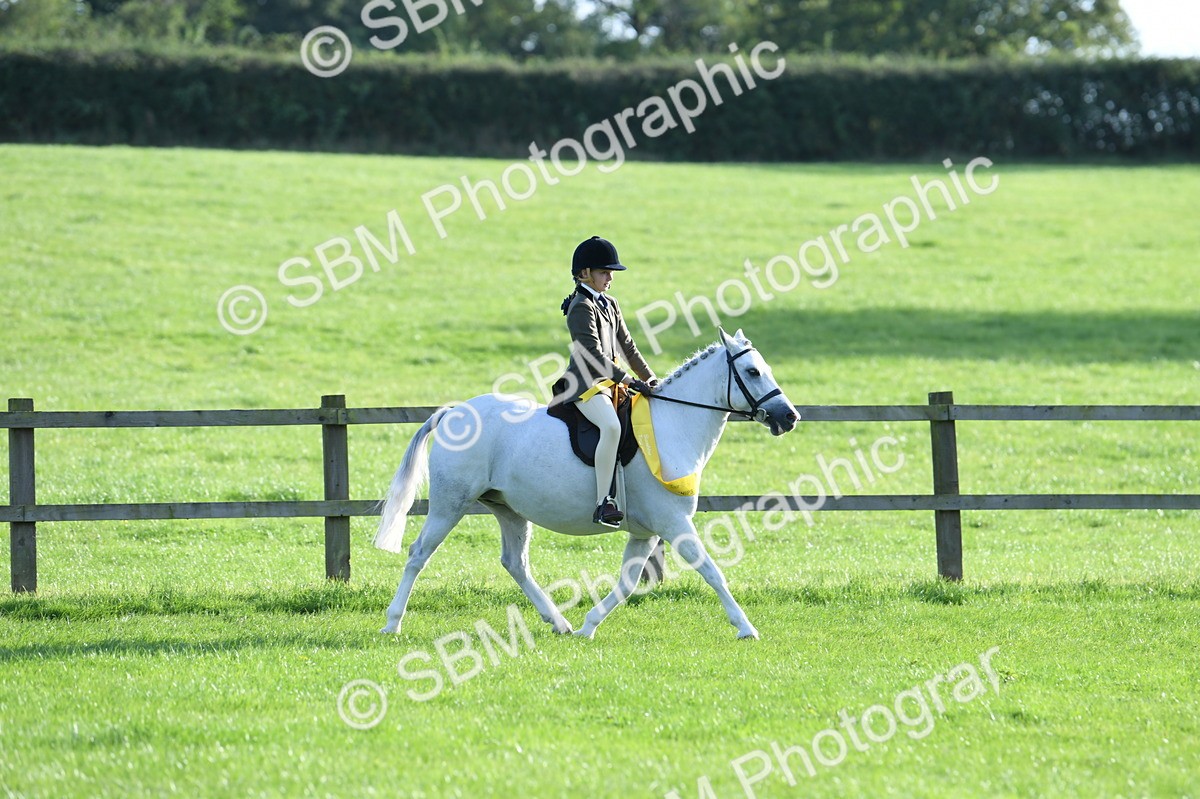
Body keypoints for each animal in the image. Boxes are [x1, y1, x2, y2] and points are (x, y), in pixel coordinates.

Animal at [374, 328, 800, 639]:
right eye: (753, 372)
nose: (790, 416)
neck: (671, 426)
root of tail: (452, 412)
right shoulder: (673, 524)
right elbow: (711, 570)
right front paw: (746, 627)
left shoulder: (645, 532)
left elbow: (628, 583)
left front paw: (588, 626)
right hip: (451, 503)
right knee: (418, 553)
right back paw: (392, 623)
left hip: (508, 509)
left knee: (515, 562)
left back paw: (559, 623)